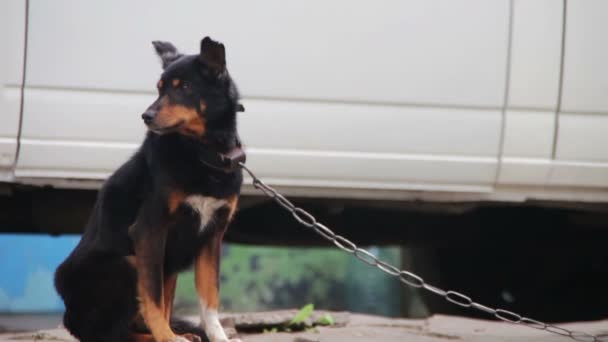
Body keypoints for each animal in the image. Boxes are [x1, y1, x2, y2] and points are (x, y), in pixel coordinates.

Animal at [54, 37, 247, 342]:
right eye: (159, 88)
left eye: (184, 87)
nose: (146, 115)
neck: (201, 152)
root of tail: (70, 316)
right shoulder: (149, 229)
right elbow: (153, 299)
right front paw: (167, 337)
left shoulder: (212, 235)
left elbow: (209, 300)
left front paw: (218, 337)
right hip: (127, 264)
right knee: (112, 333)